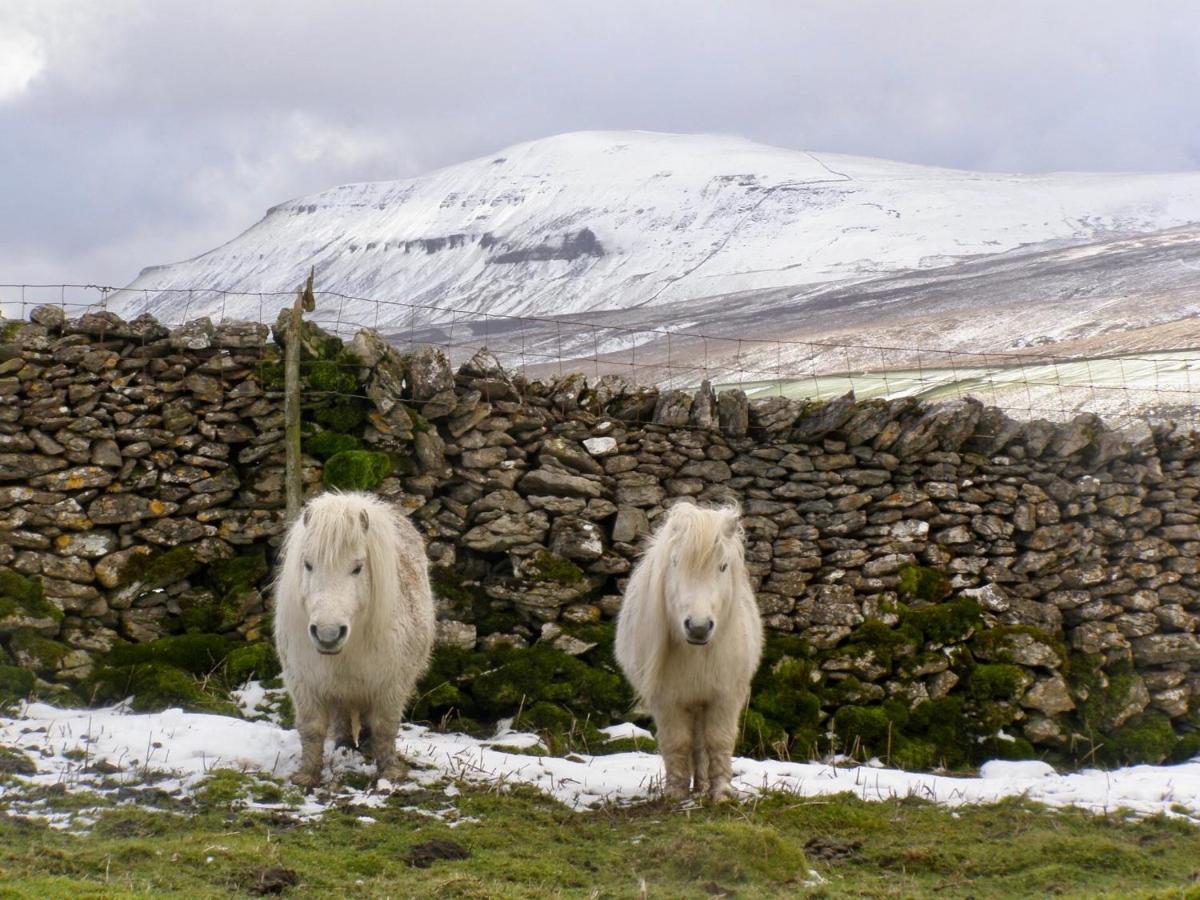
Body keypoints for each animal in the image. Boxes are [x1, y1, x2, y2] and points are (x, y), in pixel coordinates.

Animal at [272, 494, 436, 787]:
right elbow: (311, 728)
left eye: (358, 568)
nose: (327, 634)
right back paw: (345, 746)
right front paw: (307, 775)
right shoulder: (304, 681)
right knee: (342, 717)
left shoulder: (391, 684)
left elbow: (385, 725)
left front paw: (389, 773)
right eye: (308, 564)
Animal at [619, 501, 758, 801]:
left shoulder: (724, 697)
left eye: (723, 566)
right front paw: (676, 793)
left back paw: (704, 786)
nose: (698, 627)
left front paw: (721, 792)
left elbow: (718, 740)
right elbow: (677, 742)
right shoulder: (666, 700)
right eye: (674, 562)